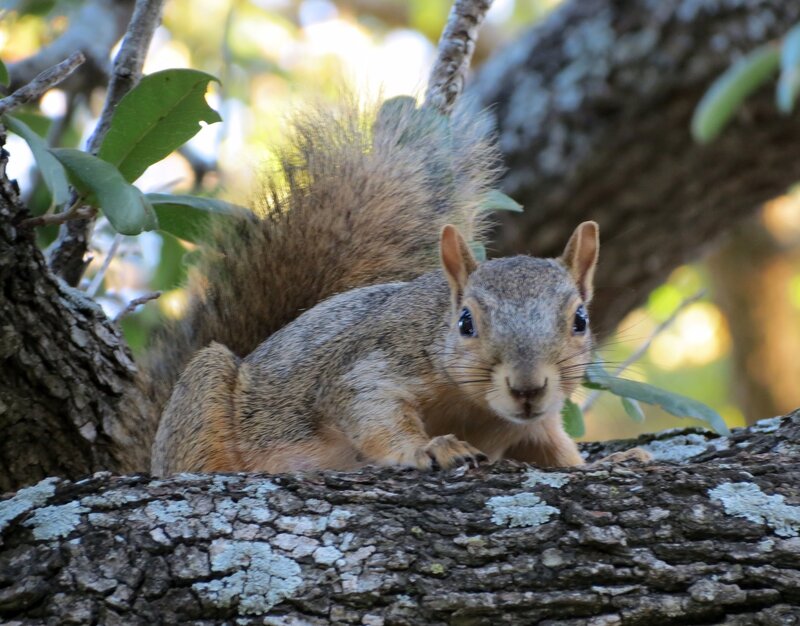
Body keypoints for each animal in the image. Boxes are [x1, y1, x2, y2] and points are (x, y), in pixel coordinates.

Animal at [143, 98, 632, 476]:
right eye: (466, 322)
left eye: (580, 320)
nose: (528, 388)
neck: (477, 409)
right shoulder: (372, 363)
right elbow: (371, 411)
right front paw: (428, 448)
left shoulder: (536, 425)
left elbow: (558, 452)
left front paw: (613, 461)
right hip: (205, 392)